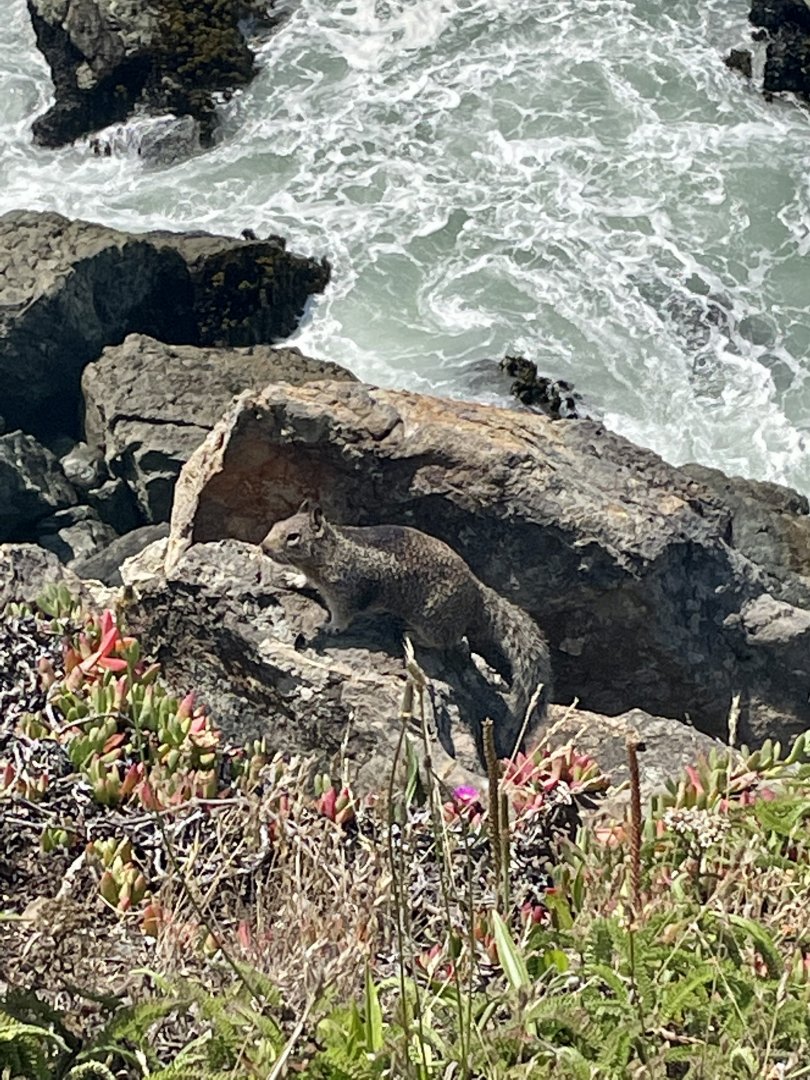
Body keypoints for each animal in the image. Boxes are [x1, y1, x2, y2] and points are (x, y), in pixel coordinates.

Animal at [261, 502, 552, 754]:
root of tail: (477, 595)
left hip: (432, 620)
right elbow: (305, 580)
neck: (331, 551)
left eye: (293, 537)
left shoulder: (346, 592)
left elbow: (343, 615)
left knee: (449, 641)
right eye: (275, 524)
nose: (263, 547)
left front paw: (331, 627)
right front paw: (294, 579)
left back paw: (411, 634)